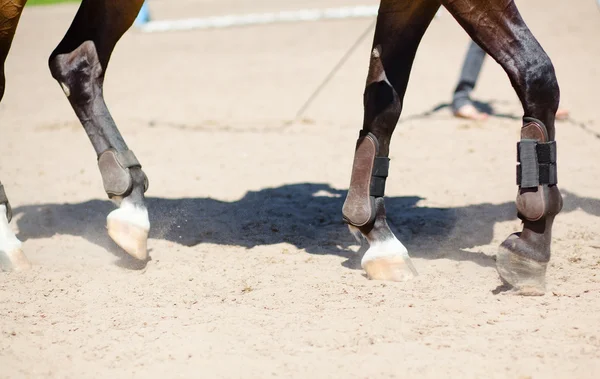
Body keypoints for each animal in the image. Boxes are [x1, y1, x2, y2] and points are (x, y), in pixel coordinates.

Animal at [1, 0, 564, 296]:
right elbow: (537, 75)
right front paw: (531, 242)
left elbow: (383, 103)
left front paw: (374, 233)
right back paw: (9, 243)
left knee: (76, 60)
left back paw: (130, 206)